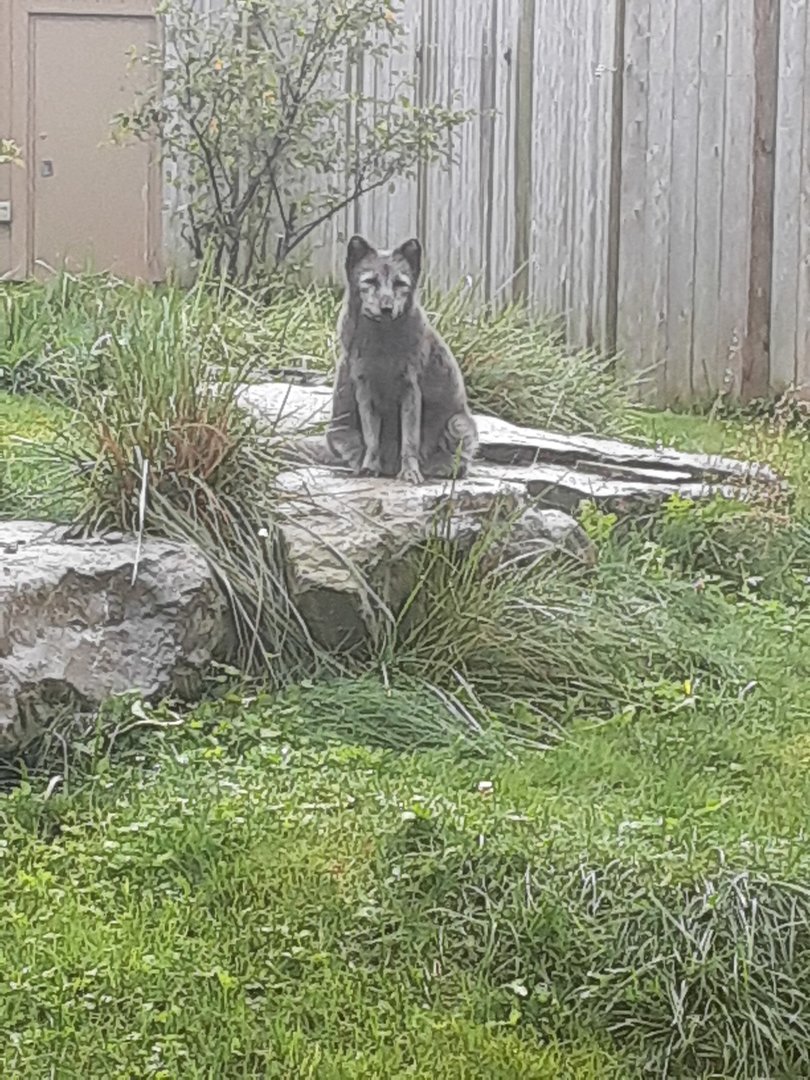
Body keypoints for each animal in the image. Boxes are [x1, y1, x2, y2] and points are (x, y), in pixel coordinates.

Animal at [325, 235, 478, 484]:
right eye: (370, 281)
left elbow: (409, 440)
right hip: (336, 433)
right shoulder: (365, 392)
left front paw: (409, 472)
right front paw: (369, 468)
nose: (386, 308)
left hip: (458, 424)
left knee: (456, 464)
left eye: (400, 283)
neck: (382, 346)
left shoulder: (411, 391)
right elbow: (372, 439)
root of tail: (390, 466)